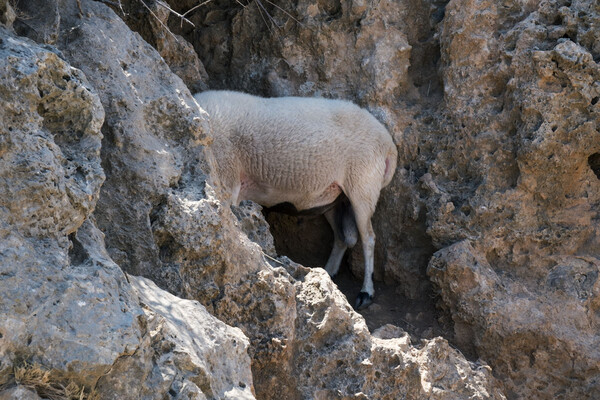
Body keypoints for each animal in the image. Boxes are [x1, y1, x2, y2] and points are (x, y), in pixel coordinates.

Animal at [196, 90, 398, 310]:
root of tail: (388, 144)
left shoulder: (228, 180)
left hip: (363, 186)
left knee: (368, 238)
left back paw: (366, 292)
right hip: (333, 197)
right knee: (341, 237)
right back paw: (328, 272)